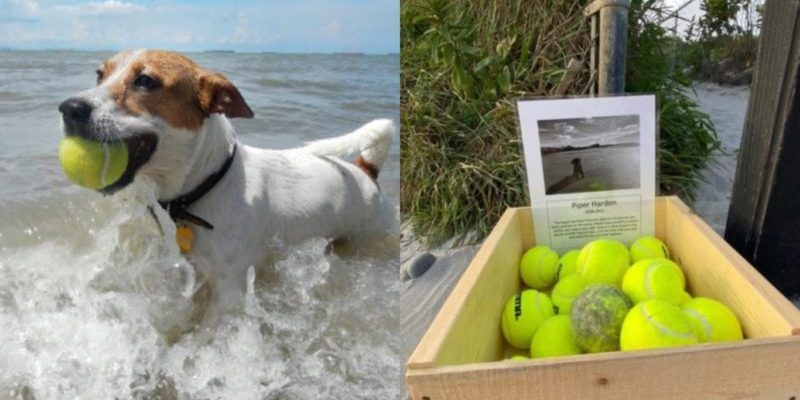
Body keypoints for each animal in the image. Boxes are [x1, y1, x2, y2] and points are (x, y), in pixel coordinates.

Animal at [58, 49, 396, 284]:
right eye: (99, 74)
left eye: (145, 81)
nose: (68, 108)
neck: (206, 185)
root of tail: (366, 170)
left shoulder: (227, 286)